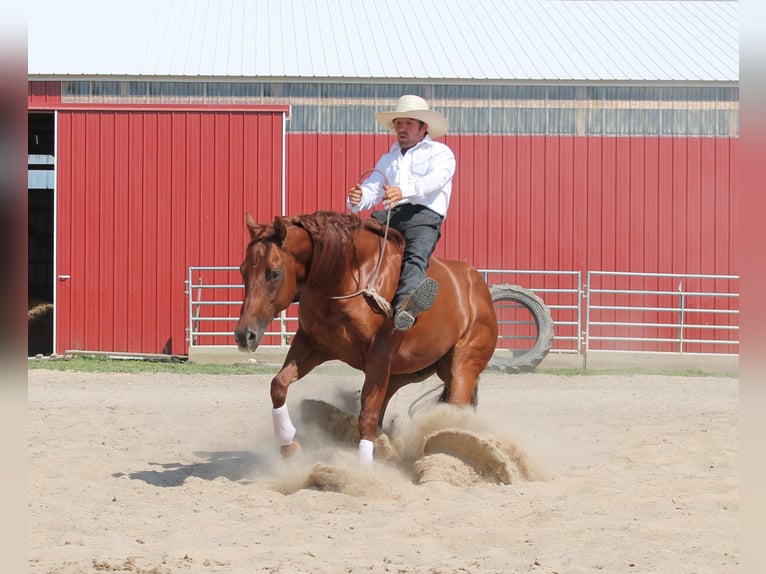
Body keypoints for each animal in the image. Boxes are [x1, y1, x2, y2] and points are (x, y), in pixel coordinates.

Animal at [234, 209, 498, 466]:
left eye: (274, 273)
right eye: (242, 270)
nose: (244, 335)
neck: (347, 277)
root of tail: (479, 288)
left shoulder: (378, 356)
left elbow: (367, 418)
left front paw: (363, 470)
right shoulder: (312, 344)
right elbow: (278, 385)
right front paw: (289, 446)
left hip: (462, 368)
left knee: (454, 412)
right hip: (402, 374)